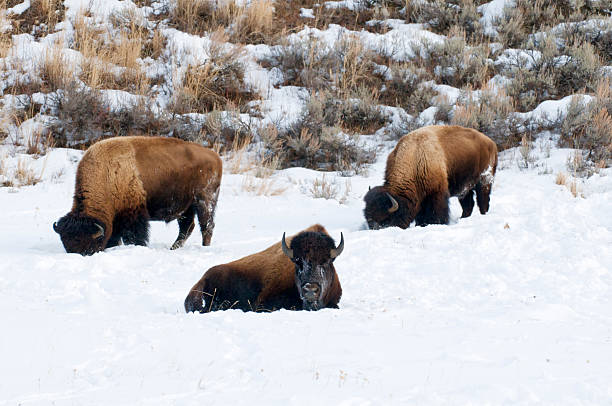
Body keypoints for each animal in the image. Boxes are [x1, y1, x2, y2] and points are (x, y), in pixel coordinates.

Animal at [53, 137, 222, 256]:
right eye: (66, 245)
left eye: (88, 247)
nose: (77, 255)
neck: (107, 174)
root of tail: (215, 156)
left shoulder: (133, 213)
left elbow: (134, 236)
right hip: (187, 207)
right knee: (187, 227)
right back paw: (173, 248)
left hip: (205, 201)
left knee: (207, 226)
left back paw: (204, 247)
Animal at [364, 124, 498, 228]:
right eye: (367, 216)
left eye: (386, 219)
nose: (373, 227)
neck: (414, 157)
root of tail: (491, 143)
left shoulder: (436, 193)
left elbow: (437, 211)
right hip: (465, 189)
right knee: (468, 205)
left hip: (484, 181)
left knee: (483, 201)